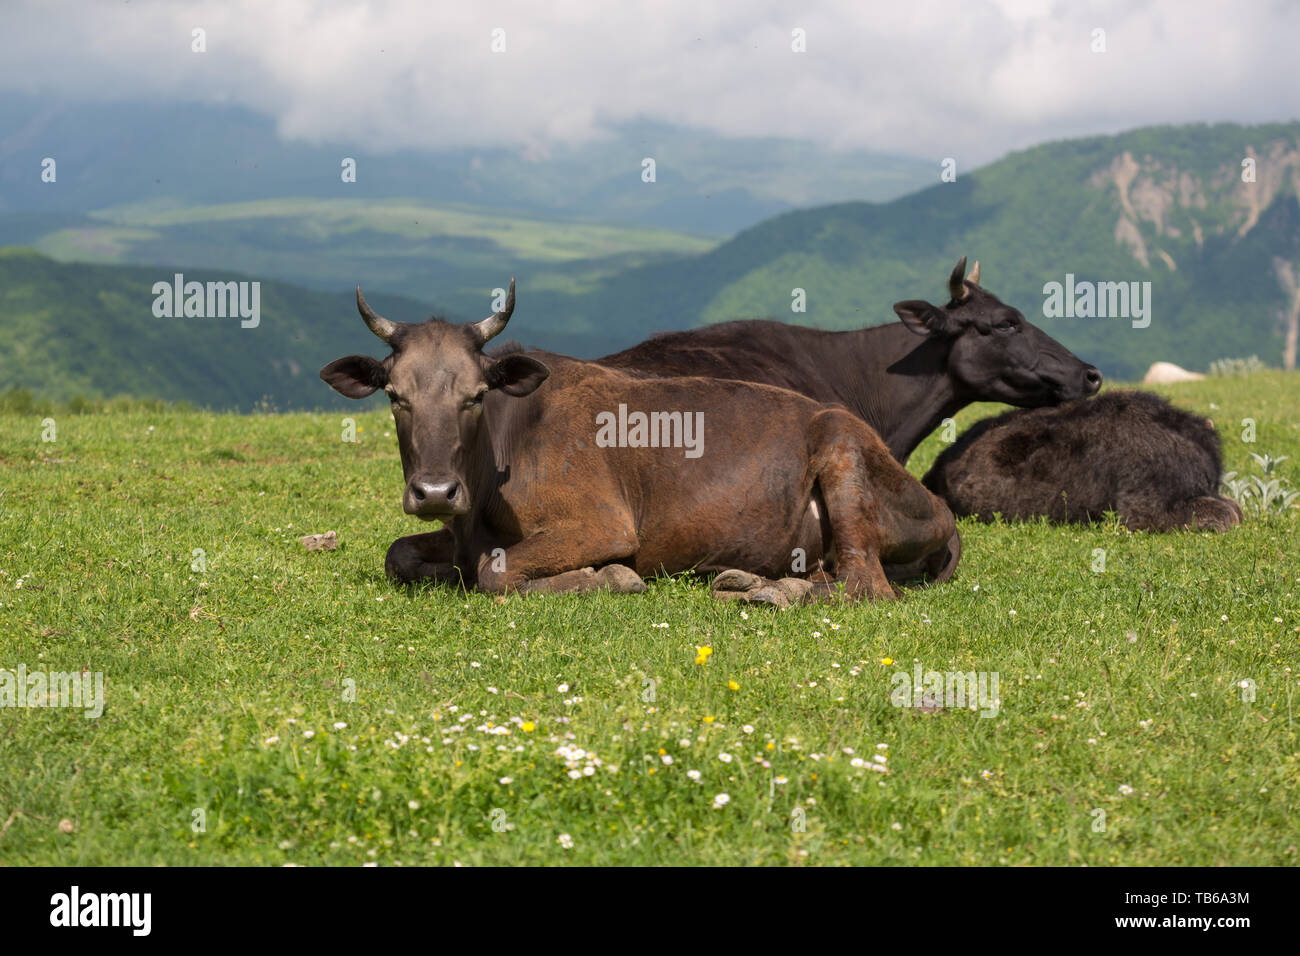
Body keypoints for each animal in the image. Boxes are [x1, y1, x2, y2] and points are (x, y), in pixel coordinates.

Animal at [319, 278, 961, 606]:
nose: (434, 492)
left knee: (863, 585)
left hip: (841, 446)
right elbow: (398, 554)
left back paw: (768, 593)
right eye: (396, 395)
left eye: (475, 395)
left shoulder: (602, 523)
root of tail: (942, 508)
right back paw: (749, 581)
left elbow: (495, 572)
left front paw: (614, 578)